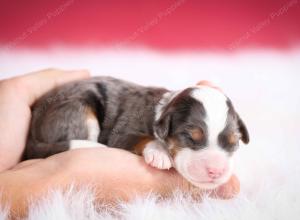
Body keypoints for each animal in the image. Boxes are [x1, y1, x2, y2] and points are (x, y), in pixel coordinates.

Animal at [25, 77, 250, 189]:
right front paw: (159, 153)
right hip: (77, 109)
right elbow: (142, 138)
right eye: (189, 137)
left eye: (234, 142)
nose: (216, 171)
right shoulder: (121, 132)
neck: (162, 109)